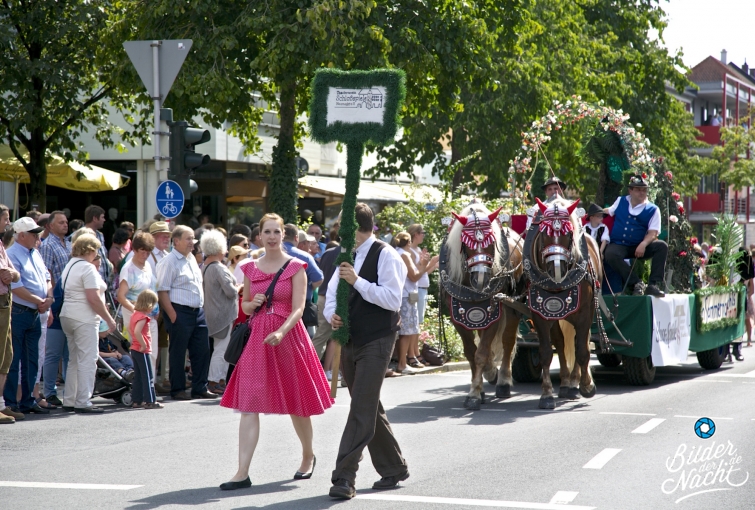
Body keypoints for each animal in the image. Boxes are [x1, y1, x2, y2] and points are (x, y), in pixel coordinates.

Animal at [439, 202, 525, 410]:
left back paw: (503, 381)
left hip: (513, 306)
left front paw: (475, 394)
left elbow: (482, 352)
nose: (481, 280)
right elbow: (471, 352)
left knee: (508, 341)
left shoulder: (493, 312)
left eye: (492, 244)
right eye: (466, 245)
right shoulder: (459, 316)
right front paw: (483, 381)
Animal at [523, 196, 603, 409]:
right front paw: (546, 394)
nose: (556, 270)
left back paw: (575, 383)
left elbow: (582, 350)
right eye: (544, 234)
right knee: (560, 342)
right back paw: (567, 384)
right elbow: (545, 353)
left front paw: (587, 386)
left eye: (568, 233)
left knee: (578, 341)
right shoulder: (540, 315)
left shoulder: (584, 313)